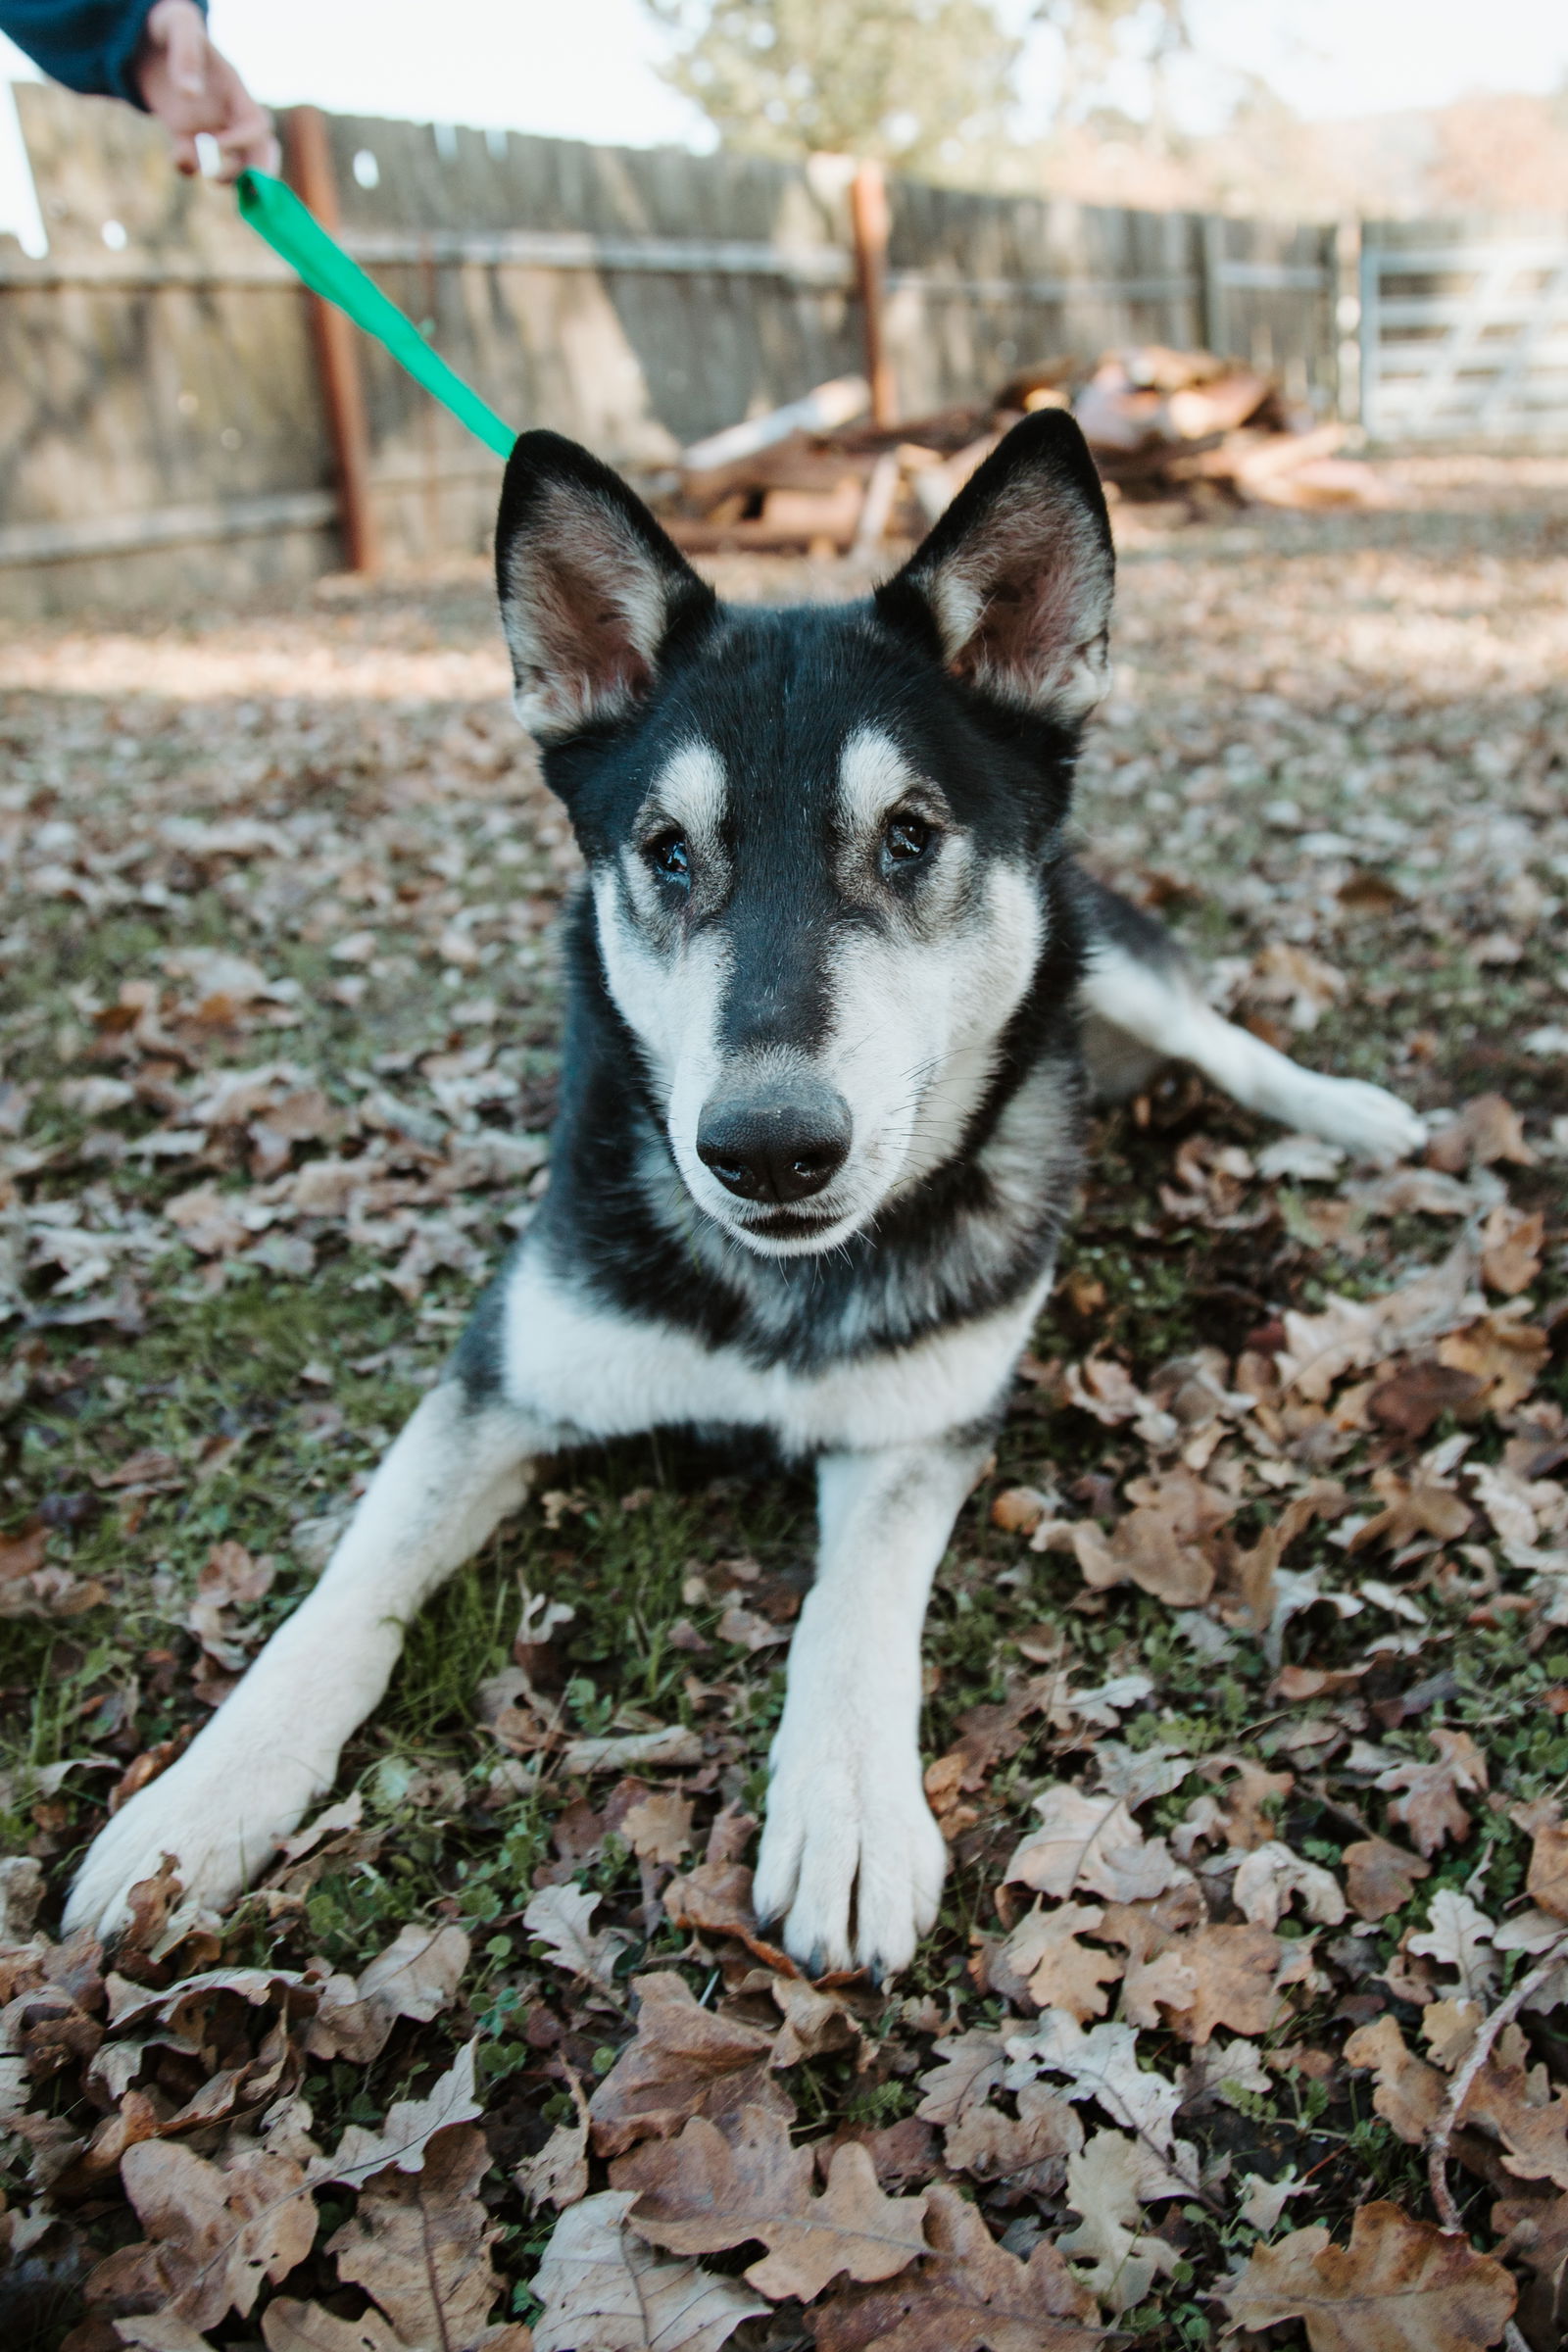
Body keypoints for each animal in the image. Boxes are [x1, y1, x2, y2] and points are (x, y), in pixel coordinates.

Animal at [67, 414, 1429, 1976]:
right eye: (667, 852)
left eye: (910, 837)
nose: (769, 1149)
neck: (777, 1289)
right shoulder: (503, 1376)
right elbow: (349, 1592)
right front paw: (206, 1796)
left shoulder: (918, 1428)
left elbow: (851, 1608)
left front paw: (847, 1814)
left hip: (1108, 964)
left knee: (1221, 1037)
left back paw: (1351, 1111)